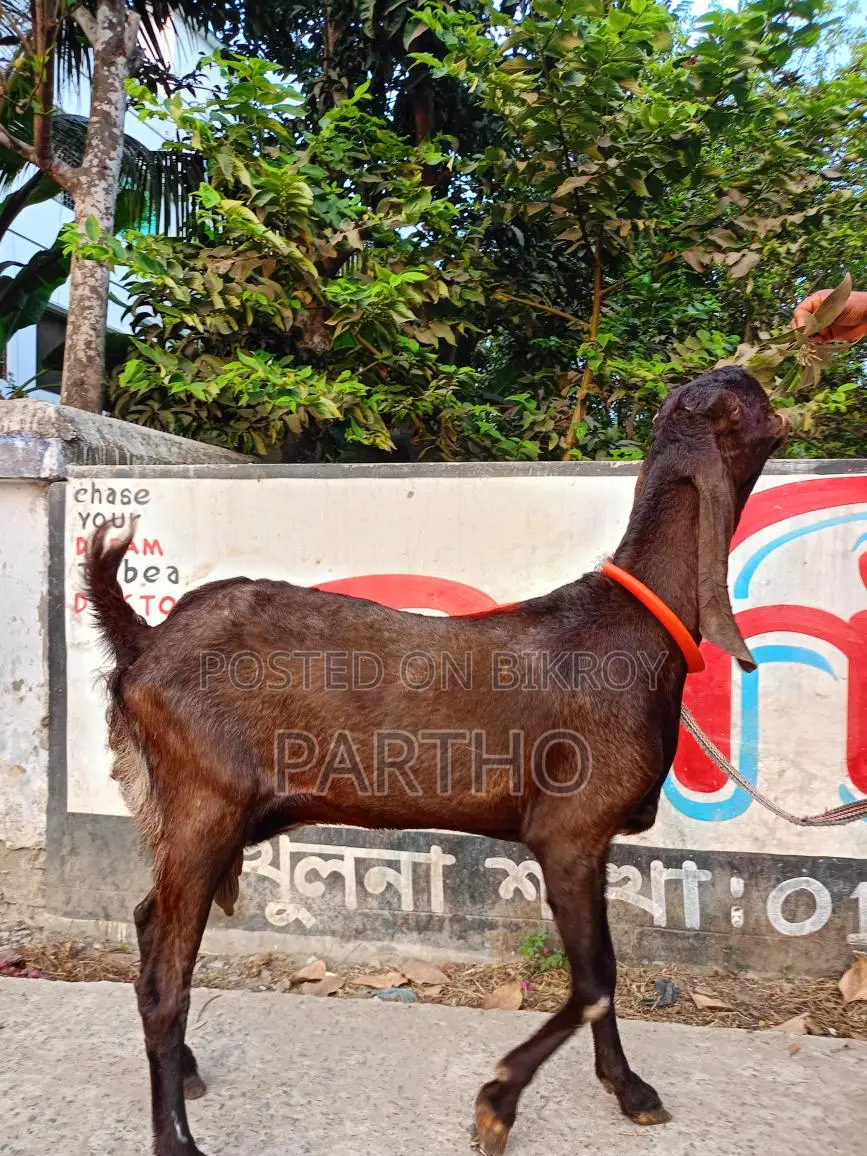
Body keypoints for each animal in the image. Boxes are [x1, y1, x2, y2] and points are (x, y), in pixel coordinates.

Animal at [85, 366, 786, 1156]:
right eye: (748, 400)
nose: (763, 380)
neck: (634, 627)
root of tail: (141, 641)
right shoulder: (568, 832)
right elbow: (594, 977)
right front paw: (497, 1103)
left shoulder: (593, 841)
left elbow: (601, 972)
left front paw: (627, 1089)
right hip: (206, 801)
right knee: (163, 979)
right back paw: (176, 1137)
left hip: (220, 813)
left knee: (148, 922)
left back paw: (188, 1070)